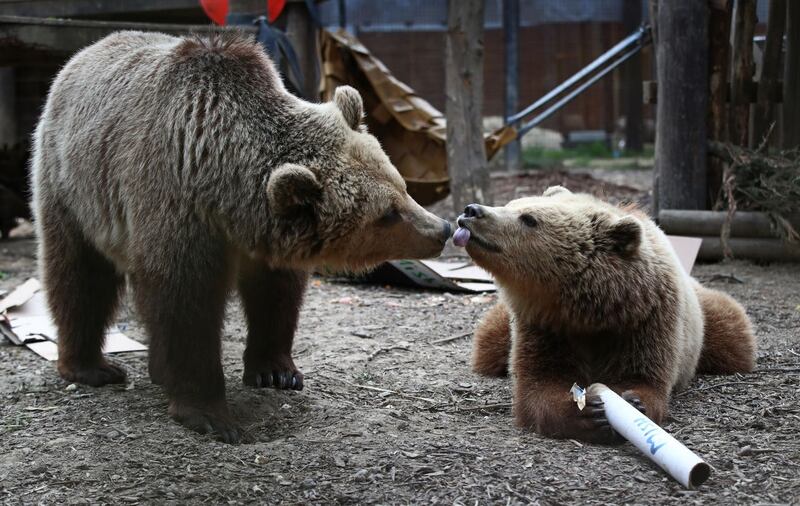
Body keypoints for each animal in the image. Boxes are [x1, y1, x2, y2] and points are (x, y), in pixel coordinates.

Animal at [31, 31, 454, 442]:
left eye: (401, 186)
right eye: (387, 214)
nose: (442, 229)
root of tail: (83, 54)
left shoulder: (267, 241)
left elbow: (275, 297)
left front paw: (276, 371)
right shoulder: (175, 206)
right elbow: (185, 307)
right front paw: (210, 414)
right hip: (73, 188)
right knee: (79, 277)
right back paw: (91, 367)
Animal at [456, 186, 756, 442]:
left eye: (529, 219)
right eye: (511, 204)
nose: (471, 211)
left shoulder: (647, 320)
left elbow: (645, 376)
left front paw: (633, 402)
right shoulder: (544, 326)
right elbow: (539, 382)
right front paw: (586, 411)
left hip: (708, 319)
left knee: (732, 335)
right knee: (489, 343)